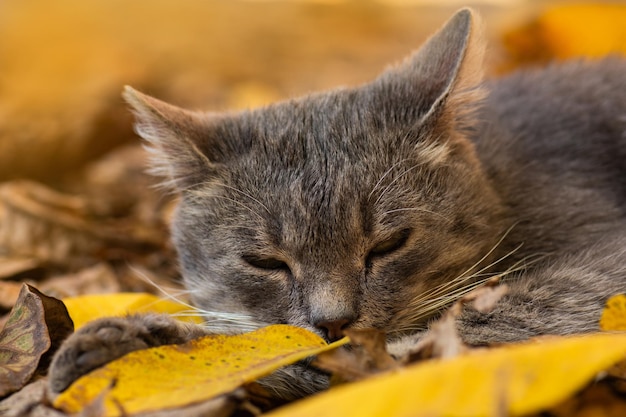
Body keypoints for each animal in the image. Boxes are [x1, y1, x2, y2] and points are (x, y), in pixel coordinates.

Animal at [48, 8, 624, 400]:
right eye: (265, 262)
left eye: (389, 244)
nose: (333, 321)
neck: (505, 182)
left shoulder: (599, 272)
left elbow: (407, 351)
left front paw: (146, 340)